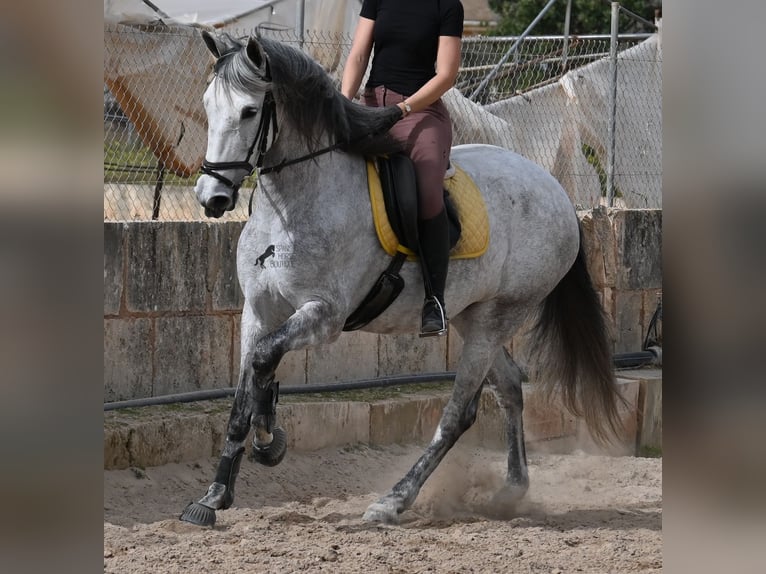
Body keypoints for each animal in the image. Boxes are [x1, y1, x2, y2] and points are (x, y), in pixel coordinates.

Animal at [182, 33, 624, 528]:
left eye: (249, 111)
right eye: (207, 104)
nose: (212, 197)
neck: (293, 206)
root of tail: (556, 190)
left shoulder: (324, 315)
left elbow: (262, 360)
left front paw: (268, 439)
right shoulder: (257, 312)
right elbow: (246, 387)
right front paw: (214, 495)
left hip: (498, 318)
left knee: (459, 413)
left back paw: (393, 500)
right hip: (474, 317)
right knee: (509, 386)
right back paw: (511, 491)